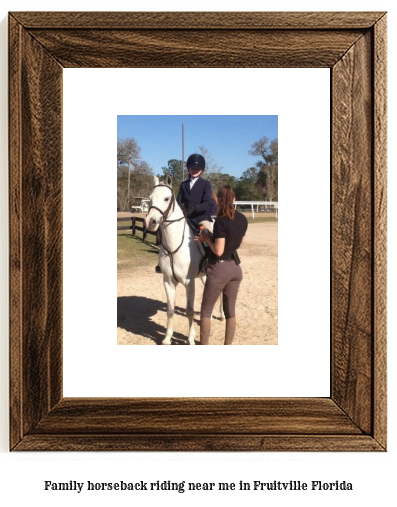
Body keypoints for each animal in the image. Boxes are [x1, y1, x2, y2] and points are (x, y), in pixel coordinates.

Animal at [144, 175, 221, 346]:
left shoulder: (189, 282)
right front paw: (167, 338)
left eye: (166, 198)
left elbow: (189, 311)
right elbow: (170, 309)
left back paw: (222, 316)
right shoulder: (168, 281)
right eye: (150, 198)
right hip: (205, 275)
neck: (174, 245)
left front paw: (190, 339)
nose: (150, 222)